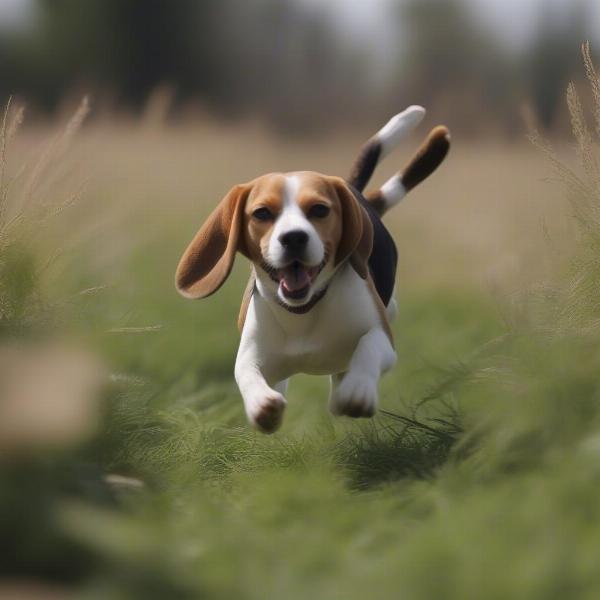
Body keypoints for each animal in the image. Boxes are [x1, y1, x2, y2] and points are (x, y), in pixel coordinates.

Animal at [177, 108, 450, 434]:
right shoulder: (251, 351)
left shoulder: (382, 337)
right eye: (261, 213)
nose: (294, 237)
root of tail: (356, 192)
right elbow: (246, 372)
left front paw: (358, 390)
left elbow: (369, 346)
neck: (303, 311)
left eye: (319, 209)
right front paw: (262, 404)